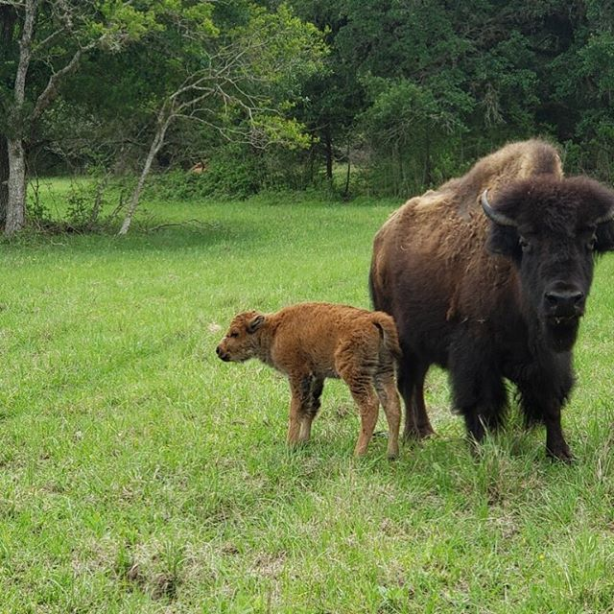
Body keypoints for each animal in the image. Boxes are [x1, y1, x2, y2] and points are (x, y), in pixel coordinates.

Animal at [217, 304, 404, 458]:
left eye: (235, 333)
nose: (219, 350)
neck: (274, 330)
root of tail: (373, 318)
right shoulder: (316, 377)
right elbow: (310, 407)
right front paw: (304, 441)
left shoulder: (297, 374)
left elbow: (296, 409)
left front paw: (290, 445)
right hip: (383, 371)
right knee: (392, 404)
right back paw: (392, 454)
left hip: (355, 374)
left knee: (370, 405)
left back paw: (358, 454)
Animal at [370, 138, 614, 458]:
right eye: (525, 241)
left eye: (590, 241)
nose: (563, 299)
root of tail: (382, 238)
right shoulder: (474, 350)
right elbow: (478, 404)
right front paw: (478, 451)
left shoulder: (550, 355)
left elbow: (551, 400)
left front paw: (561, 454)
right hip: (401, 339)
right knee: (409, 384)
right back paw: (414, 436)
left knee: (416, 381)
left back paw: (425, 433)